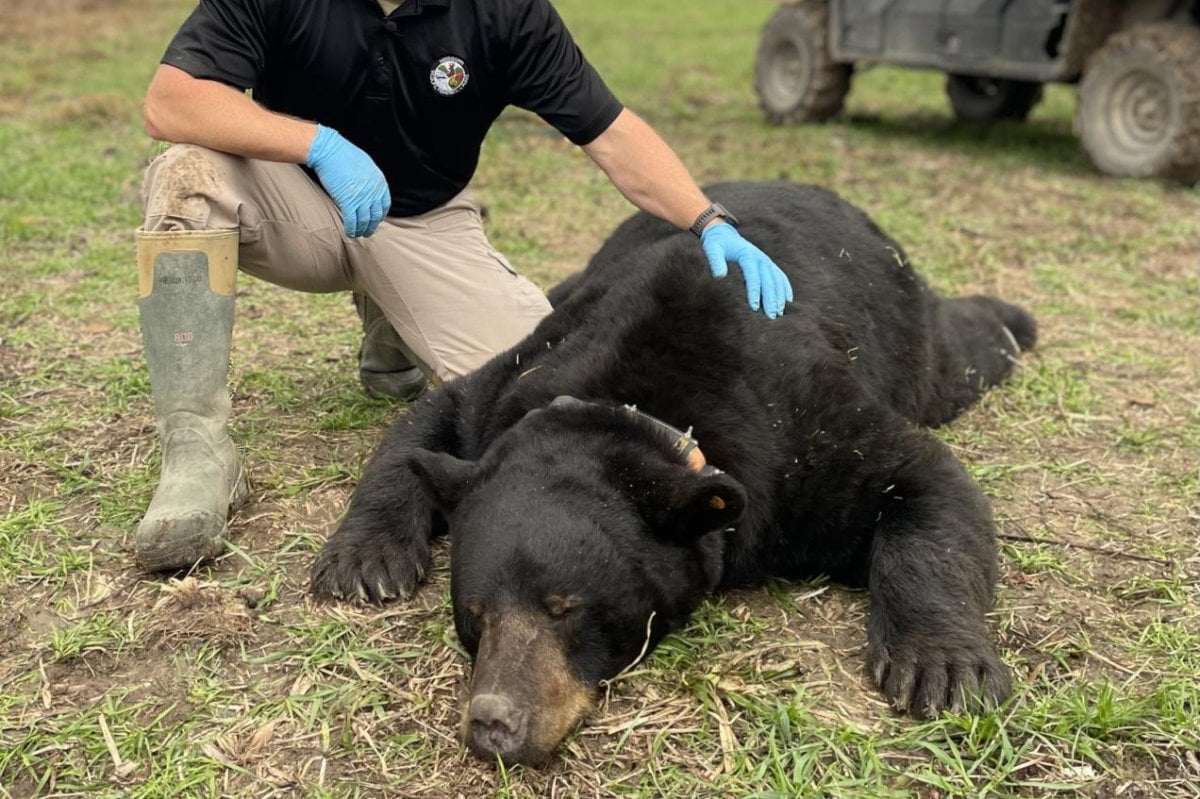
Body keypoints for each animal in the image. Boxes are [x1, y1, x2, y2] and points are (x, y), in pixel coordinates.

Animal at [309, 182, 1032, 767]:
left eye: (565, 608)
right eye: (475, 617)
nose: (492, 723)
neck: (630, 406)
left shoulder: (797, 430)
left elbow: (923, 477)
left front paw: (941, 662)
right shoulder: (511, 384)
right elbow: (428, 423)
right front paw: (365, 556)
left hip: (908, 328)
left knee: (961, 352)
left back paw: (1014, 318)